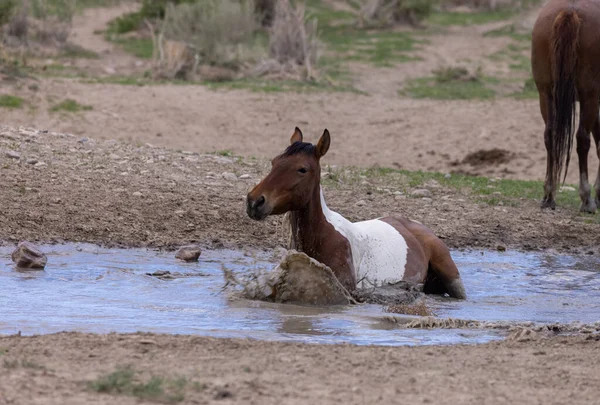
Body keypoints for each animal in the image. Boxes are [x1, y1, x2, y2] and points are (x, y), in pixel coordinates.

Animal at [532, 0, 600, 213]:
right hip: (589, 95)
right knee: (582, 139)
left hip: (545, 93)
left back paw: (549, 194)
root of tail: (570, 11)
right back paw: (586, 199)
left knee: (550, 135)